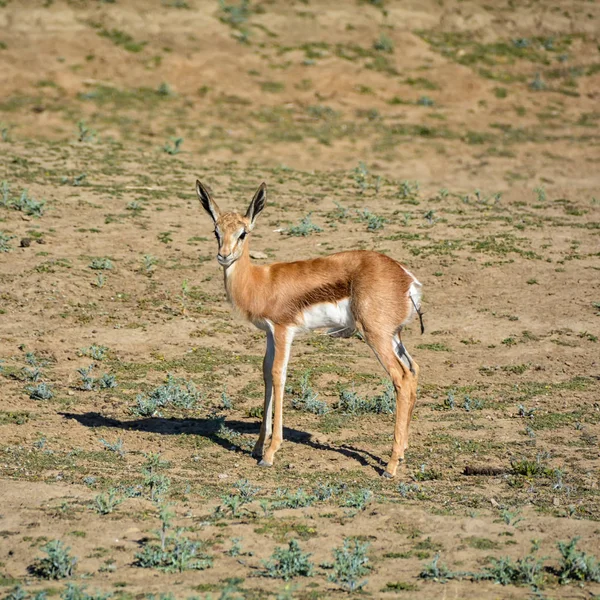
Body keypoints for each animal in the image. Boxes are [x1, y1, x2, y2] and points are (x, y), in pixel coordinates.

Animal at [197, 179, 422, 478]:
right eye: (216, 231)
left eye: (243, 233)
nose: (223, 256)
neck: (260, 282)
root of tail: (406, 278)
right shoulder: (270, 334)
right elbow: (265, 373)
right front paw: (257, 447)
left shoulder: (283, 330)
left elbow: (278, 375)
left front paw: (270, 453)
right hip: (394, 336)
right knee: (413, 369)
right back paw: (403, 452)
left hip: (376, 337)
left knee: (401, 378)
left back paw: (391, 465)